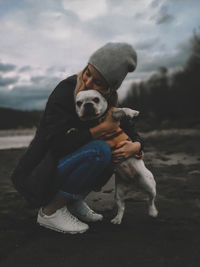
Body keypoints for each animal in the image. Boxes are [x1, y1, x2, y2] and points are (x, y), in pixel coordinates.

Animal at [75, 89, 158, 224]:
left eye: (96, 99)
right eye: (78, 103)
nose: (88, 104)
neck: (95, 120)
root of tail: (133, 184)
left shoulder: (114, 114)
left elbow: (122, 109)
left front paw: (133, 112)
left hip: (148, 183)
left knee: (150, 199)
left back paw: (153, 212)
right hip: (119, 193)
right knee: (122, 207)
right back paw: (117, 219)